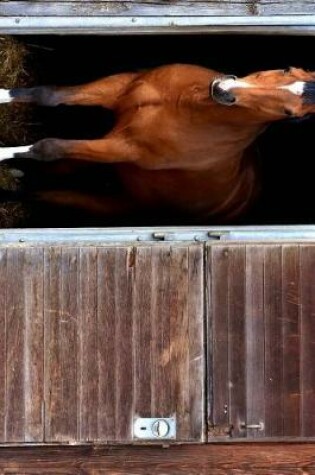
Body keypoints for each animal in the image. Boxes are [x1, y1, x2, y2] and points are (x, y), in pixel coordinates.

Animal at [0, 63, 314, 225]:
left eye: (292, 114)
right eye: (287, 70)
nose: (224, 89)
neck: (184, 104)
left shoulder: (124, 148)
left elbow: (48, 147)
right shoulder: (120, 86)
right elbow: (47, 94)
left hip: (108, 203)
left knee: (39, 192)